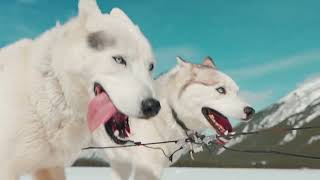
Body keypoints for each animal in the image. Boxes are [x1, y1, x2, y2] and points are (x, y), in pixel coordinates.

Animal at [90, 56, 255, 180]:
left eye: (237, 91)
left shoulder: (123, 164)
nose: (251, 111)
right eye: (221, 90)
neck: (170, 112)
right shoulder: (147, 169)